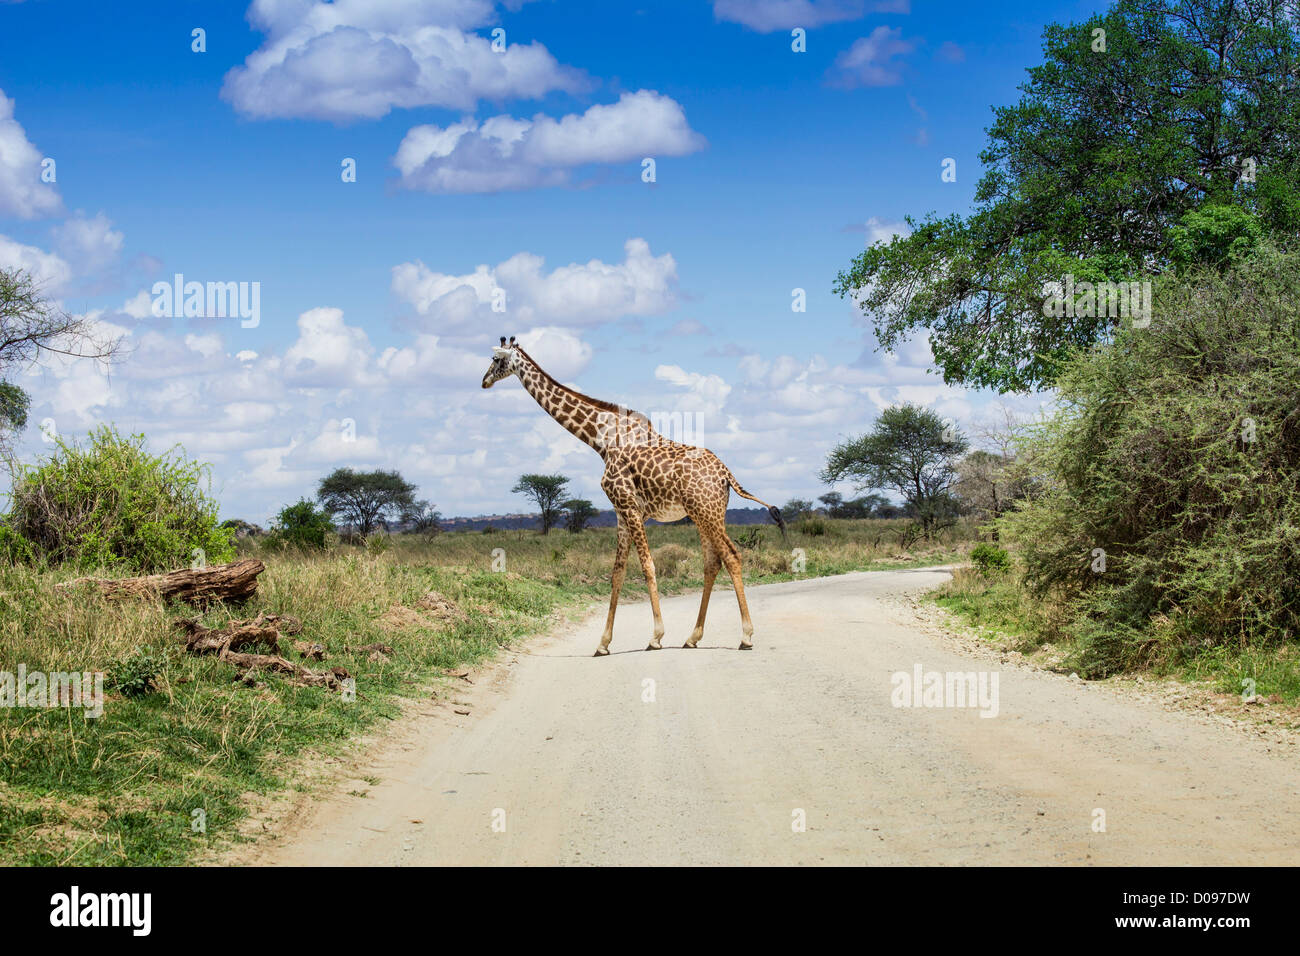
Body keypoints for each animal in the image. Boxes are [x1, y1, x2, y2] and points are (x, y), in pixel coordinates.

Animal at [478, 335, 780, 658]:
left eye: (496, 360)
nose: (484, 381)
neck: (601, 439)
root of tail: (726, 474)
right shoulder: (621, 513)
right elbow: (617, 573)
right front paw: (603, 643)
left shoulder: (630, 507)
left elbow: (648, 566)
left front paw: (656, 636)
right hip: (706, 513)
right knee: (712, 563)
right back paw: (692, 637)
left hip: (706, 512)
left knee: (732, 556)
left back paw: (745, 636)